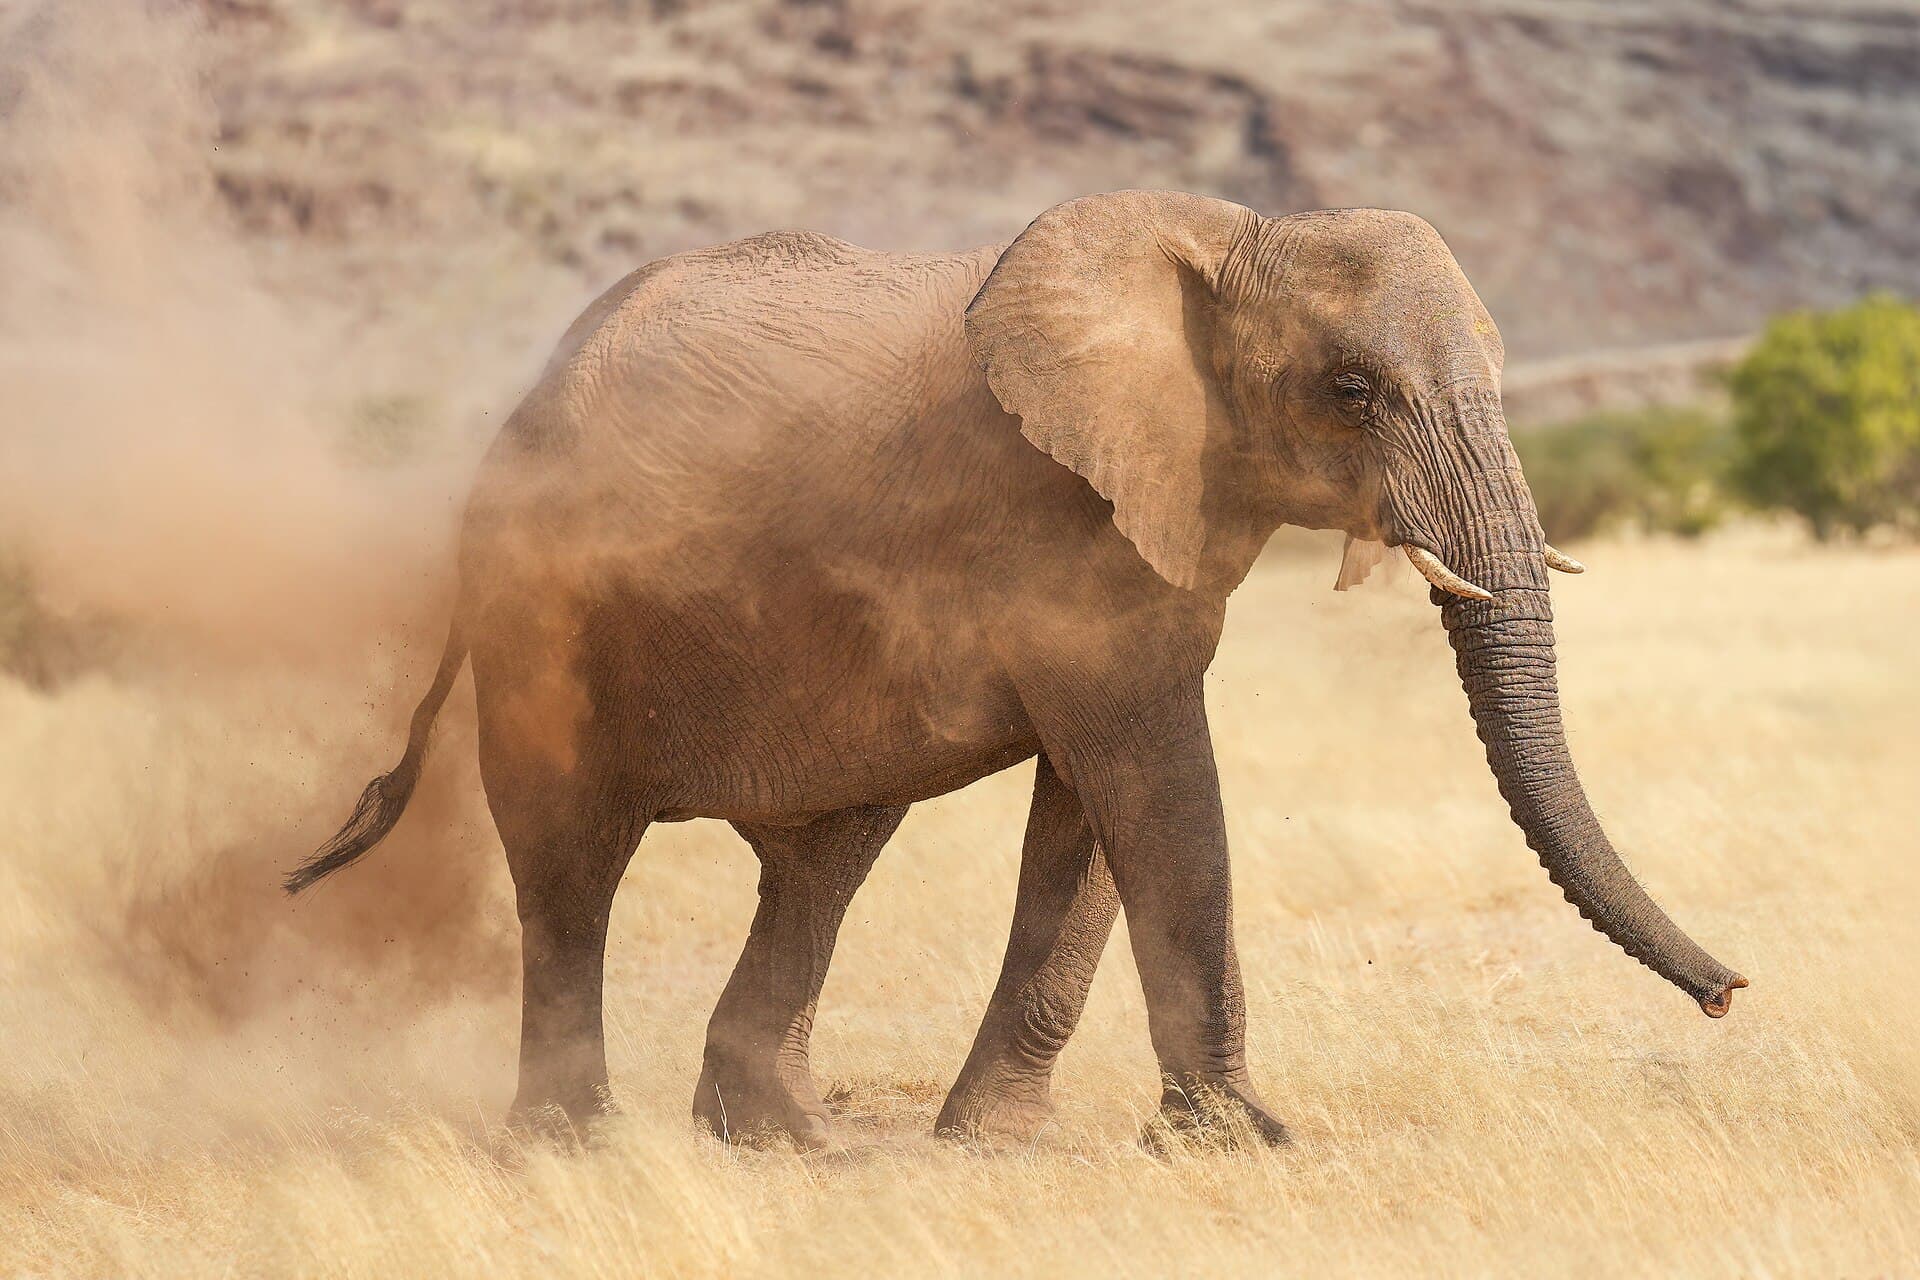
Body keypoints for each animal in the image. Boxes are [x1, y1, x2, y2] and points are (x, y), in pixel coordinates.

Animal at [284, 189, 1746, 1149]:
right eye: (1352, 390)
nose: (1732, 991)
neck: (1226, 234)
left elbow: (1094, 808)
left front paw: (1000, 1142)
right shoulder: (1060, 515)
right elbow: (1155, 784)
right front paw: (1244, 1139)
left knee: (824, 853)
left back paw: (785, 1139)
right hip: (544, 611)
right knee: (571, 866)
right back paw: (576, 1145)